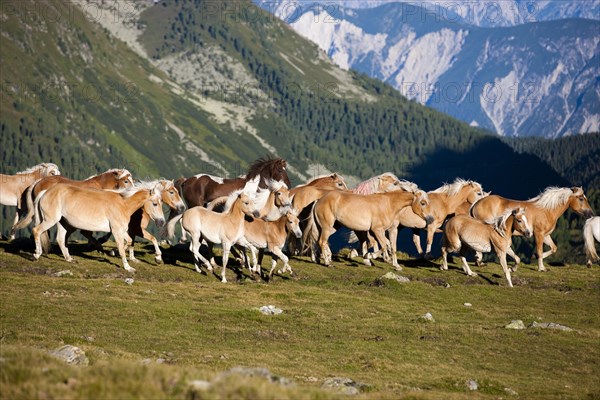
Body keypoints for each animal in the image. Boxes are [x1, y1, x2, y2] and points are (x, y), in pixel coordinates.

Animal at [31, 184, 164, 272]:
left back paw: (69, 259)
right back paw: (36, 255)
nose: (162, 222)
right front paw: (128, 267)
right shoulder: (116, 231)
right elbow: (122, 249)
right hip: (50, 220)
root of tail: (46, 192)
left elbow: (129, 242)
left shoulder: (122, 231)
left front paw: (157, 258)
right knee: (36, 230)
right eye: (155, 204)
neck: (123, 205)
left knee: (60, 239)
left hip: (63, 223)